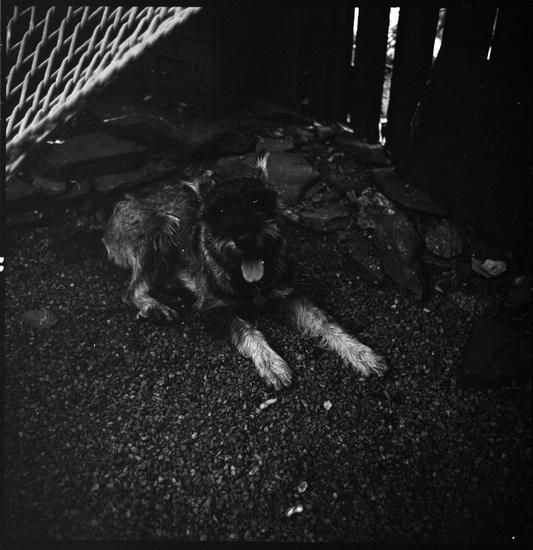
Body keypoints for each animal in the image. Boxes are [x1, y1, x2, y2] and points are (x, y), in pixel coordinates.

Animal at [103, 154, 386, 389]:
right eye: (219, 210)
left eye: (256, 201)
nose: (244, 239)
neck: (251, 283)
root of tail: (115, 212)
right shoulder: (214, 310)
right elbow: (247, 330)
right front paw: (271, 364)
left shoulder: (288, 295)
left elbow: (325, 322)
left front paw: (360, 353)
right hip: (160, 232)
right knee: (131, 291)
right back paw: (155, 307)